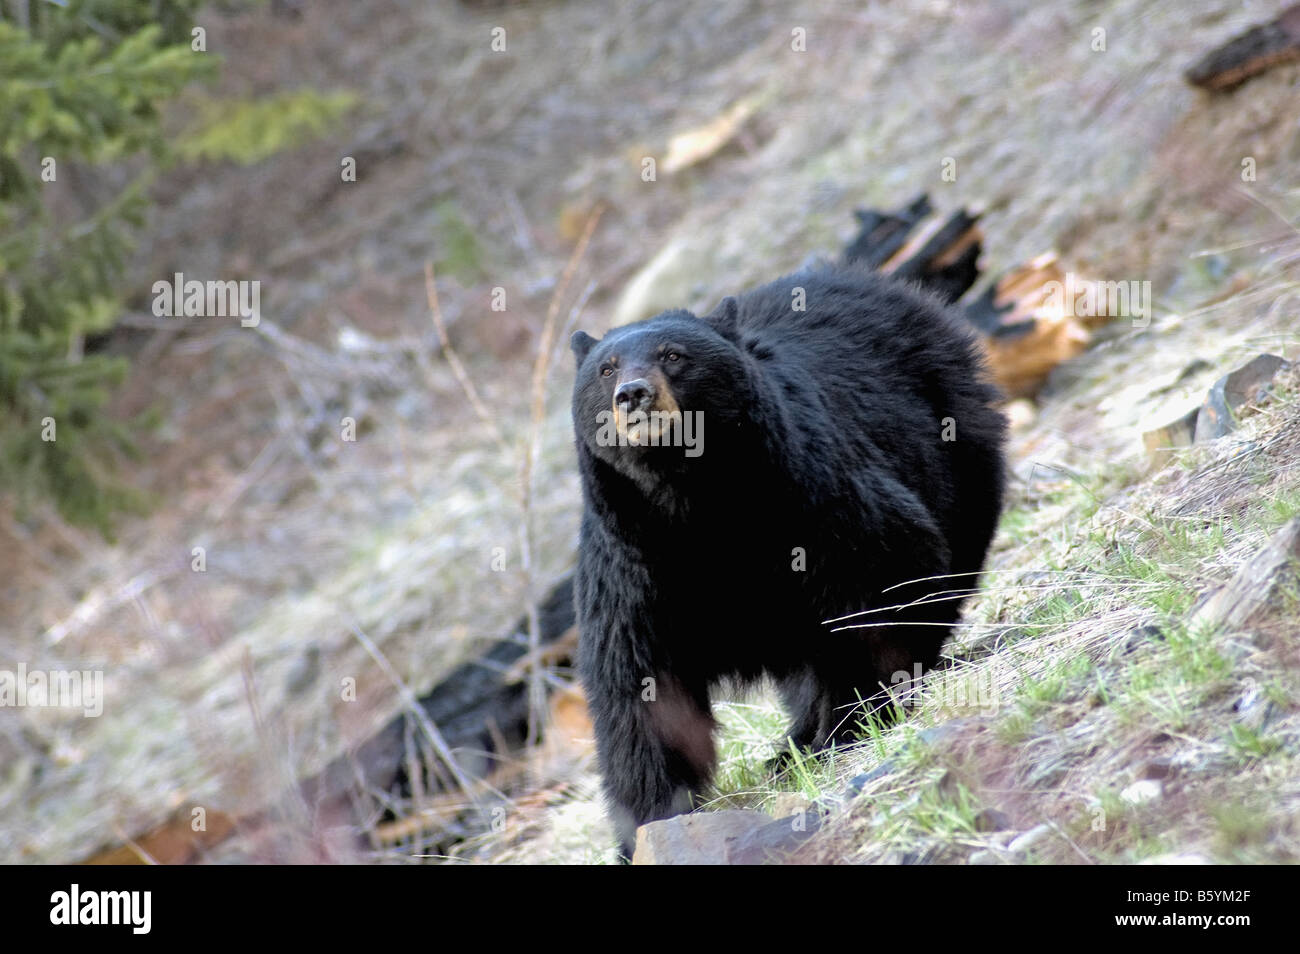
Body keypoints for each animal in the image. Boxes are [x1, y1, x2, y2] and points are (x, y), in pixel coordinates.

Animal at [569, 263, 1003, 857]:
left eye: (674, 355)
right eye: (605, 368)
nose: (632, 394)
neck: (691, 505)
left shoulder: (808, 498)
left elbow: (876, 580)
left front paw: (850, 726)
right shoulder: (630, 569)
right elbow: (637, 685)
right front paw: (649, 822)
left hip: (951, 428)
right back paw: (788, 745)